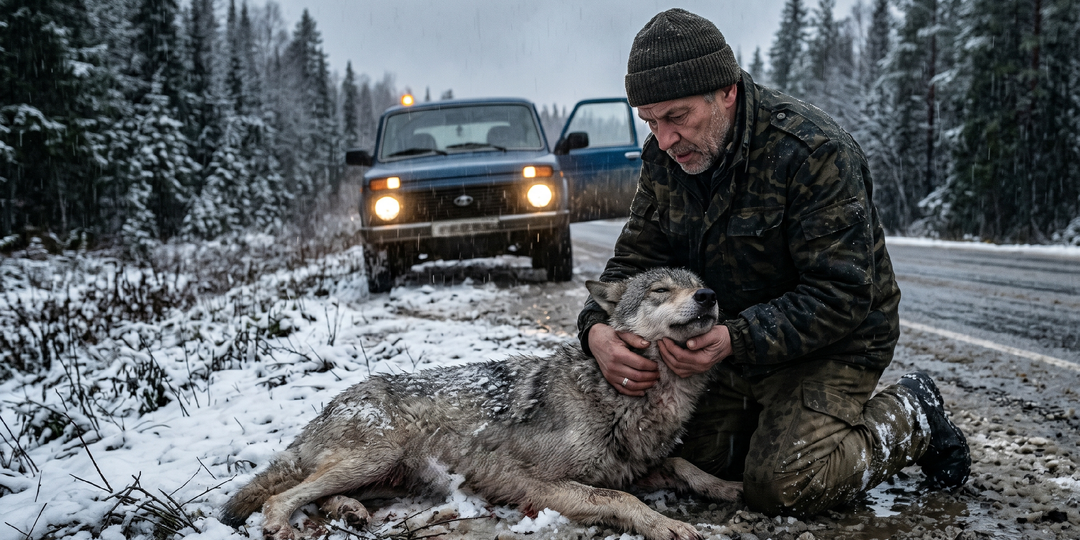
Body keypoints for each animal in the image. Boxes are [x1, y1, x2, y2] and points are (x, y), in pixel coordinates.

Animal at [220, 267, 743, 540]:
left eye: (696, 283)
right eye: (660, 291)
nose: (709, 295)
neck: (617, 395)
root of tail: (327, 407)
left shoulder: (634, 464)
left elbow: (684, 465)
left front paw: (728, 487)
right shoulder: (539, 484)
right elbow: (621, 499)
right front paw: (668, 525)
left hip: (381, 473)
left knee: (318, 493)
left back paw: (349, 512)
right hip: (376, 455)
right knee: (282, 495)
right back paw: (282, 526)